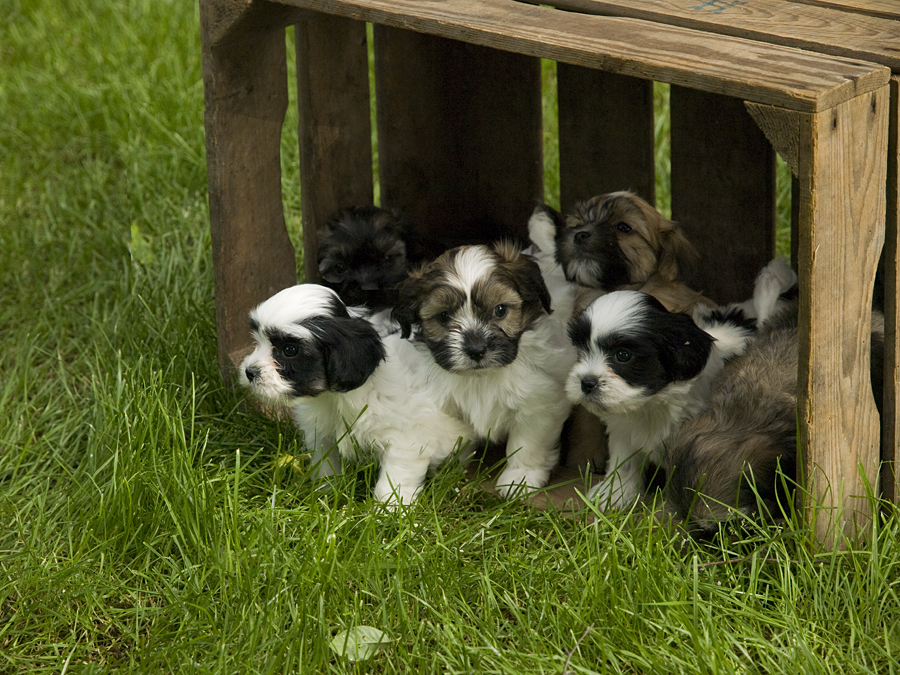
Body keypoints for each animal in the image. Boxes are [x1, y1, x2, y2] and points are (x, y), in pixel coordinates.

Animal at [239, 282, 478, 504]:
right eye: (258, 340)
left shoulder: (406, 441)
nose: (249, 372)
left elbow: (395, 480)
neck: (336, 397)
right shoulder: (323, 435)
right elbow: (326, 464)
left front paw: (389, 511)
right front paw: (325, 493)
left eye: (290, 350)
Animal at [396, 243, 576, 496]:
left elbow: (529, 442)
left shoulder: (540, 401)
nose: (476, 349)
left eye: (500, 310)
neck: (481, 377)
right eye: (444, 316)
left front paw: (521, 478)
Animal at [568, 292, 756, 512]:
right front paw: (614, 494)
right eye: (582, 349)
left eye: (623, 355)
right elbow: (624, 461)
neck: (650, 403)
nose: (586, 382)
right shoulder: (623, 430)